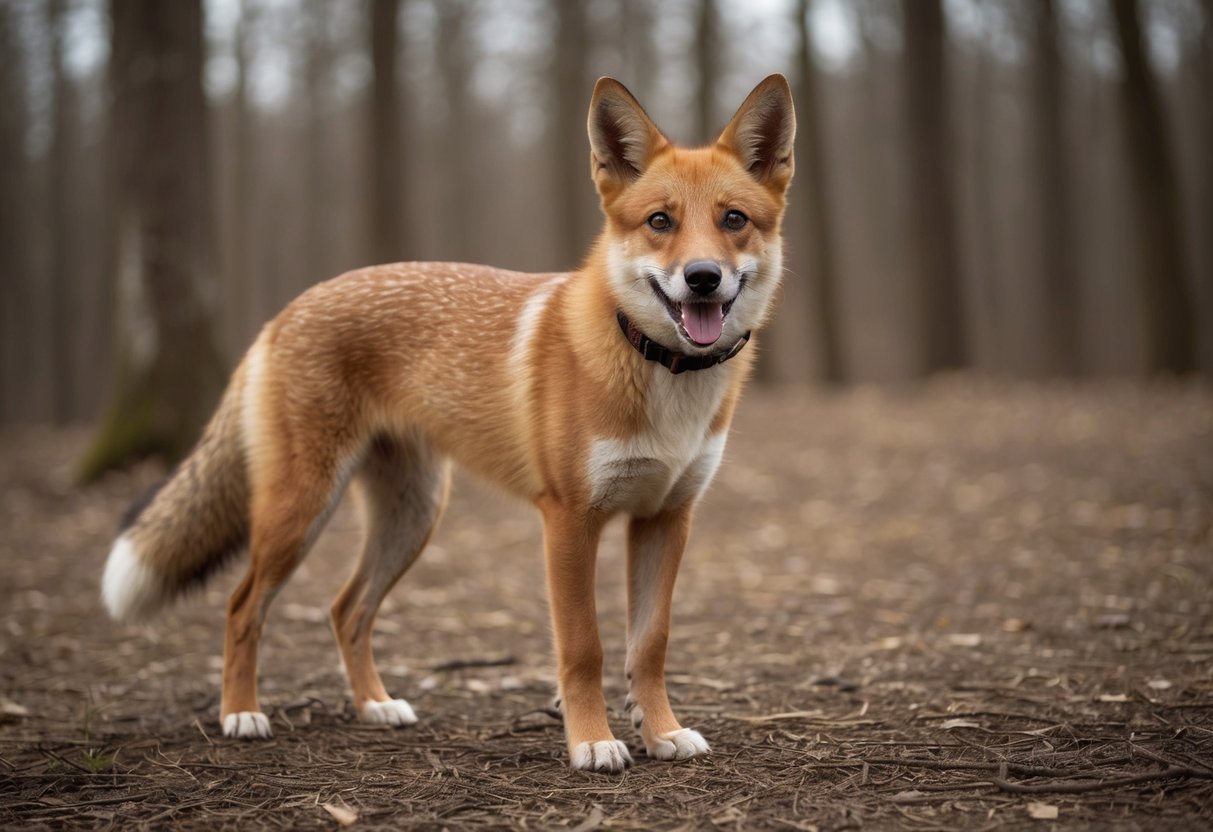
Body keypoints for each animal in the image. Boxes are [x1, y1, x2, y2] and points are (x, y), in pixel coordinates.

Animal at [101, 75, 795, 772]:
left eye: (733, 220)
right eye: (660, 222)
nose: (702, 278)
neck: (661, 374)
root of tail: (286, 312)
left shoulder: (666, 517)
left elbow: (650, 645)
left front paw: (661, 732)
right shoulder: (569, 519)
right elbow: (585, 648)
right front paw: (593, 741)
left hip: (412, 516)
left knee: (345, 609)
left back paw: (375, 706)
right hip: (300, 512)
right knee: (242, 606)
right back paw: (240, 714)